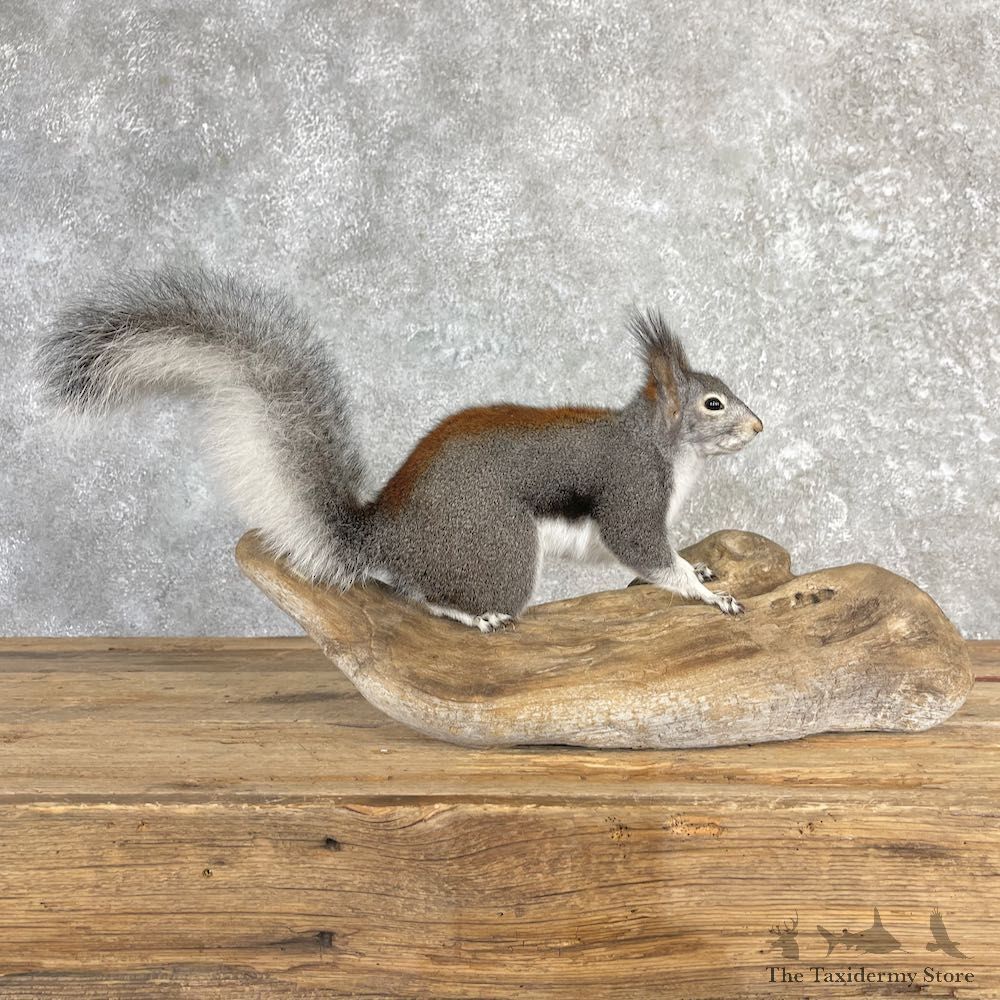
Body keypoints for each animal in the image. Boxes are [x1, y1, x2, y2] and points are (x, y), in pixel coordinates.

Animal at [38, 266, 763, 632]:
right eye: (714, 404)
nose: (759, 427)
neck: (668, 449)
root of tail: (388, 534)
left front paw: (694, 571)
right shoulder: (631, 489)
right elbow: (641, 547)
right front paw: (703, 592)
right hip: (499, 547)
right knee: (422, 594)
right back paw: (471, 614)